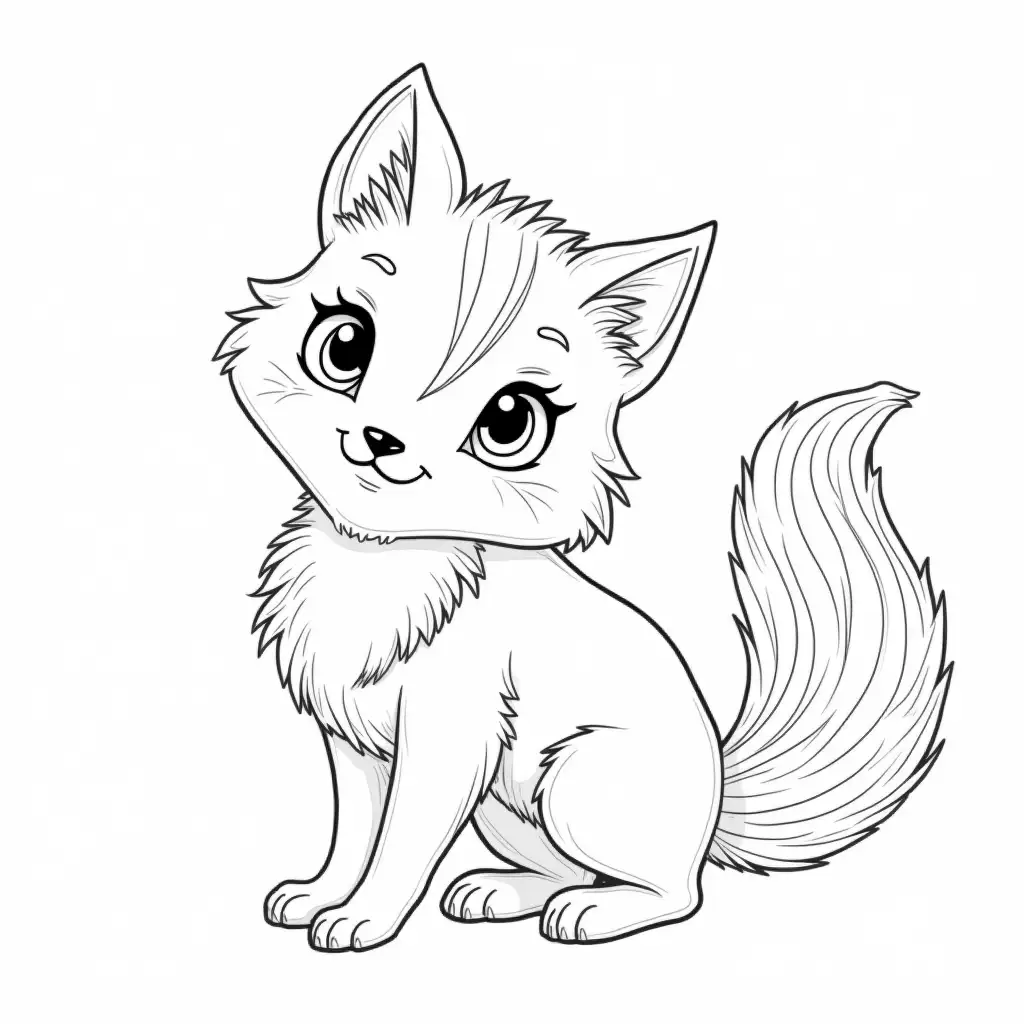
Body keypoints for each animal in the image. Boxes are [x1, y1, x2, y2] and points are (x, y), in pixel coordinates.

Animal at [215, 64, 951, 951]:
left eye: (509, 422)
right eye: (345, 345)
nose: (383, 439)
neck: (375, 560)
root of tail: (715, 804)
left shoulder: (446, 741)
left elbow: (400, 845)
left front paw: (362, 917)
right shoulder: (355, 740)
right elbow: (353, 832)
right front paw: (321, 894)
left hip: (575, 777)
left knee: (673, 892)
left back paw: (592, 913)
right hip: (509, 809)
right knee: (564, 869)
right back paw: (502, 892)